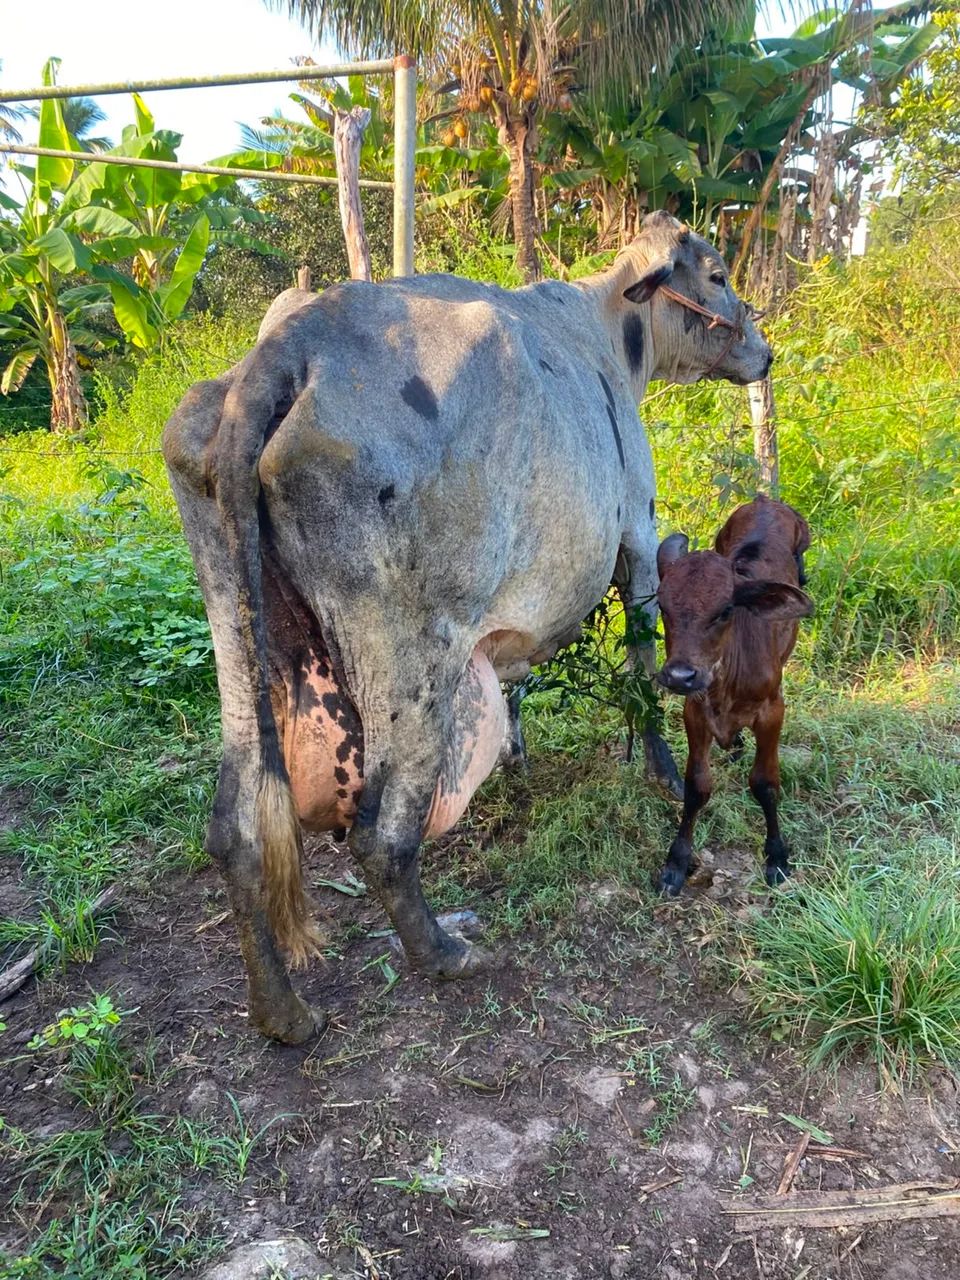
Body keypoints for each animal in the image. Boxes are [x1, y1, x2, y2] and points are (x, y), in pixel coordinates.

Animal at [161, 211, 772, 1043]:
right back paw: (443, 952)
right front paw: (666, 773)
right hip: (416, 662)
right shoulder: (639, 541)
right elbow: (647, 672)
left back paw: (283, 1011)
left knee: (237, 828)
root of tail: (289, 348)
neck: (607, 330)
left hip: (236, 627)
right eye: (715, 274)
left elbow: (515, 689)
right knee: (382, 834)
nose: (764, 352)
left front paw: (517, 759)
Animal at [654, 495, 813, 896]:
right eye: (662, 606)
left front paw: (777, 856)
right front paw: (676, 863)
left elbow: (765, 783)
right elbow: (697, 786)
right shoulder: (695, 711)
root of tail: (765, 499)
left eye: (725, 610)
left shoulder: (773, 711)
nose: (680, 675)